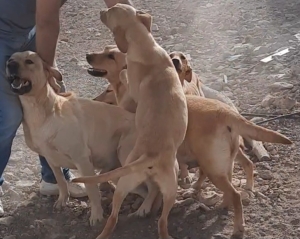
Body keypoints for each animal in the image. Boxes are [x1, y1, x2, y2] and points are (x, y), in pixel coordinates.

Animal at [73, 3, 188, 239]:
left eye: (109, 13)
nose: (102, 10)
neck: (145, 46)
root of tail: (149, 157)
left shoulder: (133, 89)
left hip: (129, 184)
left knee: (115, 216)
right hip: (163, 189)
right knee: (159, 220)